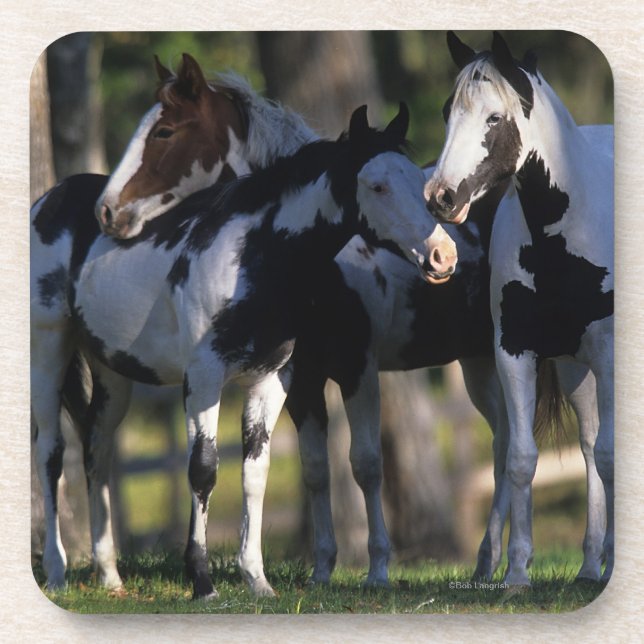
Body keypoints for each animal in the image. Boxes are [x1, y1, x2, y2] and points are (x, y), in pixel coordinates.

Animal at [31, 101, 457, 599]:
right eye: (378, 185)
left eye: (417, 181)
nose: (443, 256)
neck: (253, 257)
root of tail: (48, 201)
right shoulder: (204, 378)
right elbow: (203, 469)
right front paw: (202, 580)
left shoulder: (271, 379)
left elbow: (255, 472)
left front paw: (256, 579)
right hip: (48, 350)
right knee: (51, 453)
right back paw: (57, 572)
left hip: (112, 373)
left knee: (97, 450)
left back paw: (110, 575)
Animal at [424, 31, 614, 585]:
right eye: (447, 110)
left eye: (494, 117)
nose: (440, 197)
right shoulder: (513, 351)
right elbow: (522, 458)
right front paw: (516, 574)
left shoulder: (608, 351)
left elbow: (612, 456)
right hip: (574, 368)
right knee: (588, 444)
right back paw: (589, 564)